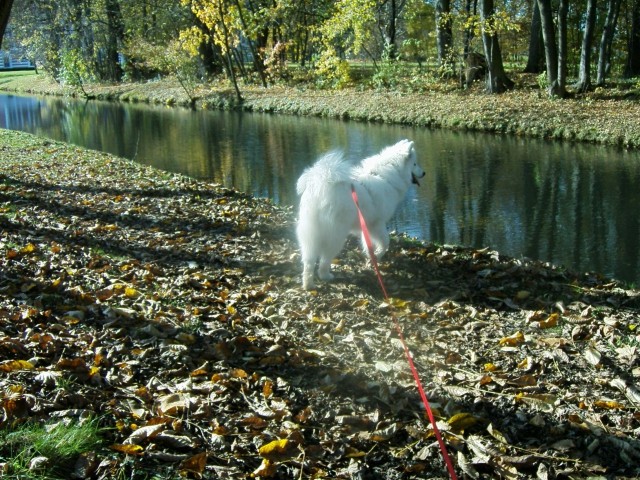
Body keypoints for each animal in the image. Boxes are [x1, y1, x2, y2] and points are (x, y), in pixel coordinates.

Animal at [296, 139, 424, 288]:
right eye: (415, 164)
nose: (424, 173)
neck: (385, 177)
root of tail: (321, 186)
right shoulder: (377, 223)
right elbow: (385, 242)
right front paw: (377, 256)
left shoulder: (367, 225)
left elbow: (369, 244)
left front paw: (371, 256)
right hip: (335, 235)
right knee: (324, 258)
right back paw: (325, 275)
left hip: (310, 233)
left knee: (309, 261)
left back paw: (308, 284)